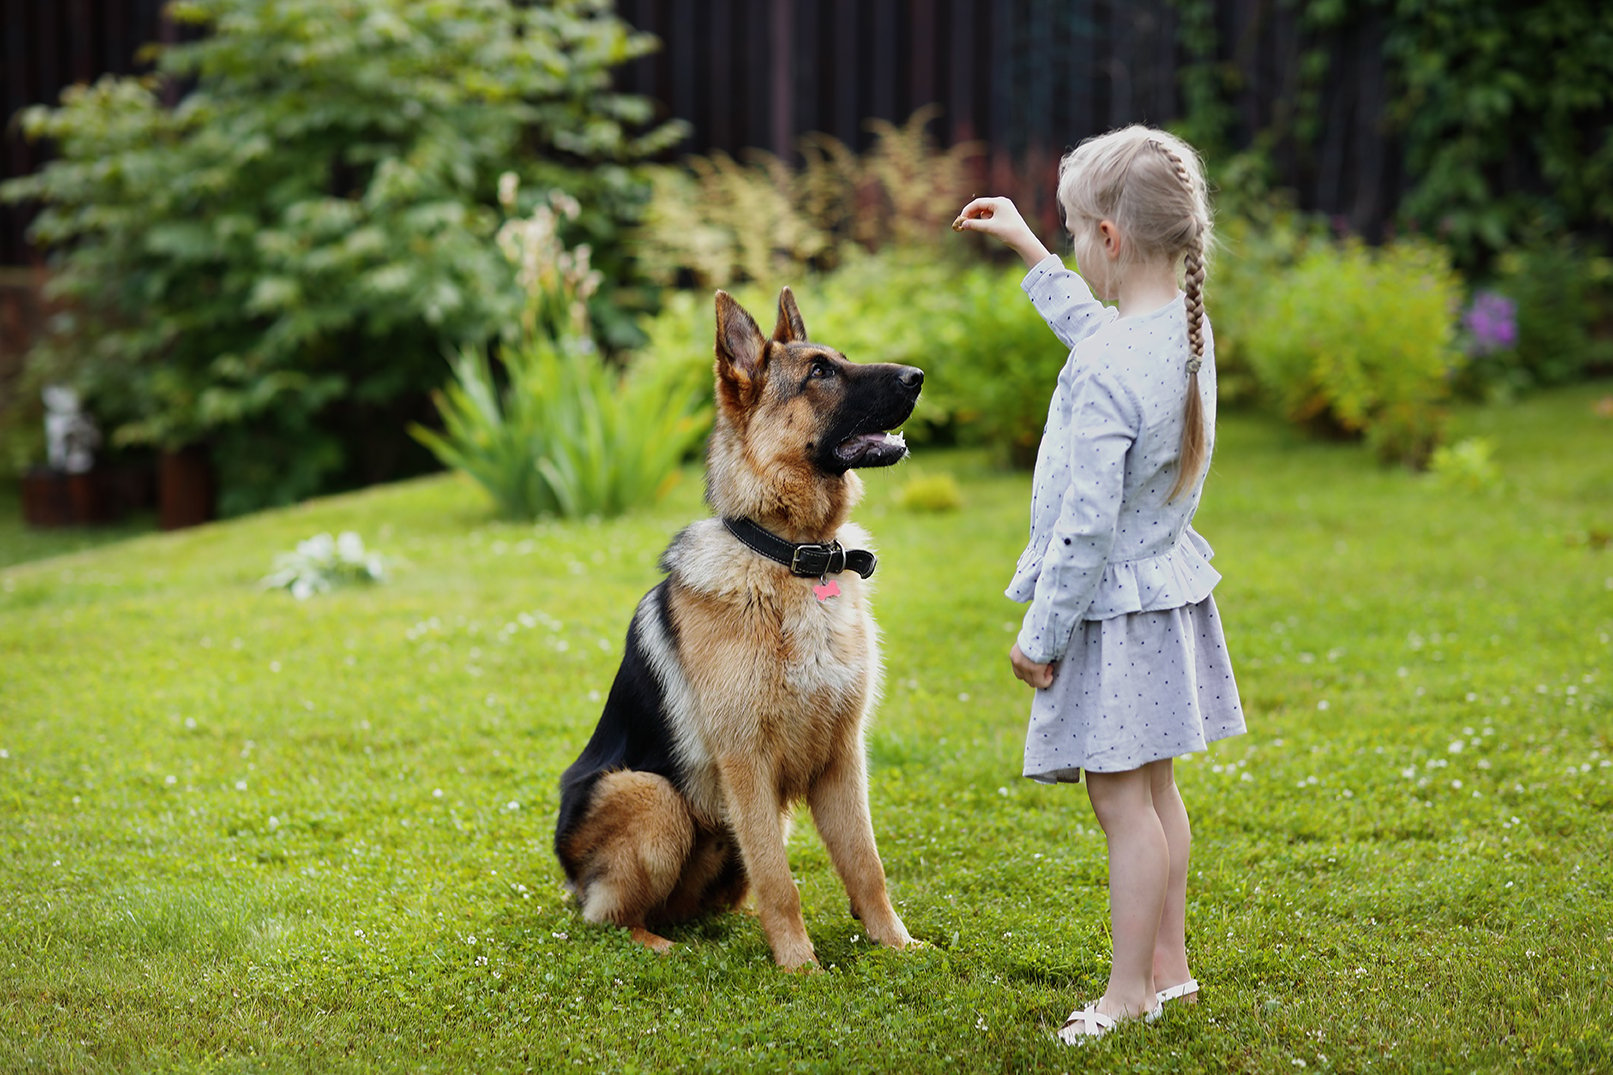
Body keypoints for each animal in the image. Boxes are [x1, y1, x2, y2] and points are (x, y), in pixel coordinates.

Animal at [554, 288, 929, 968]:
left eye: (841, 358)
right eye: (820, 372)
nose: (918, 375)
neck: (796, 557)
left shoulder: (843, 758)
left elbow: (866, 865)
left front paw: (896, 944)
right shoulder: (746, 761)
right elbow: (782, 881)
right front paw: (801, 968)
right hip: (653, 797)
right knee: (610, 916)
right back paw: (662, 943)